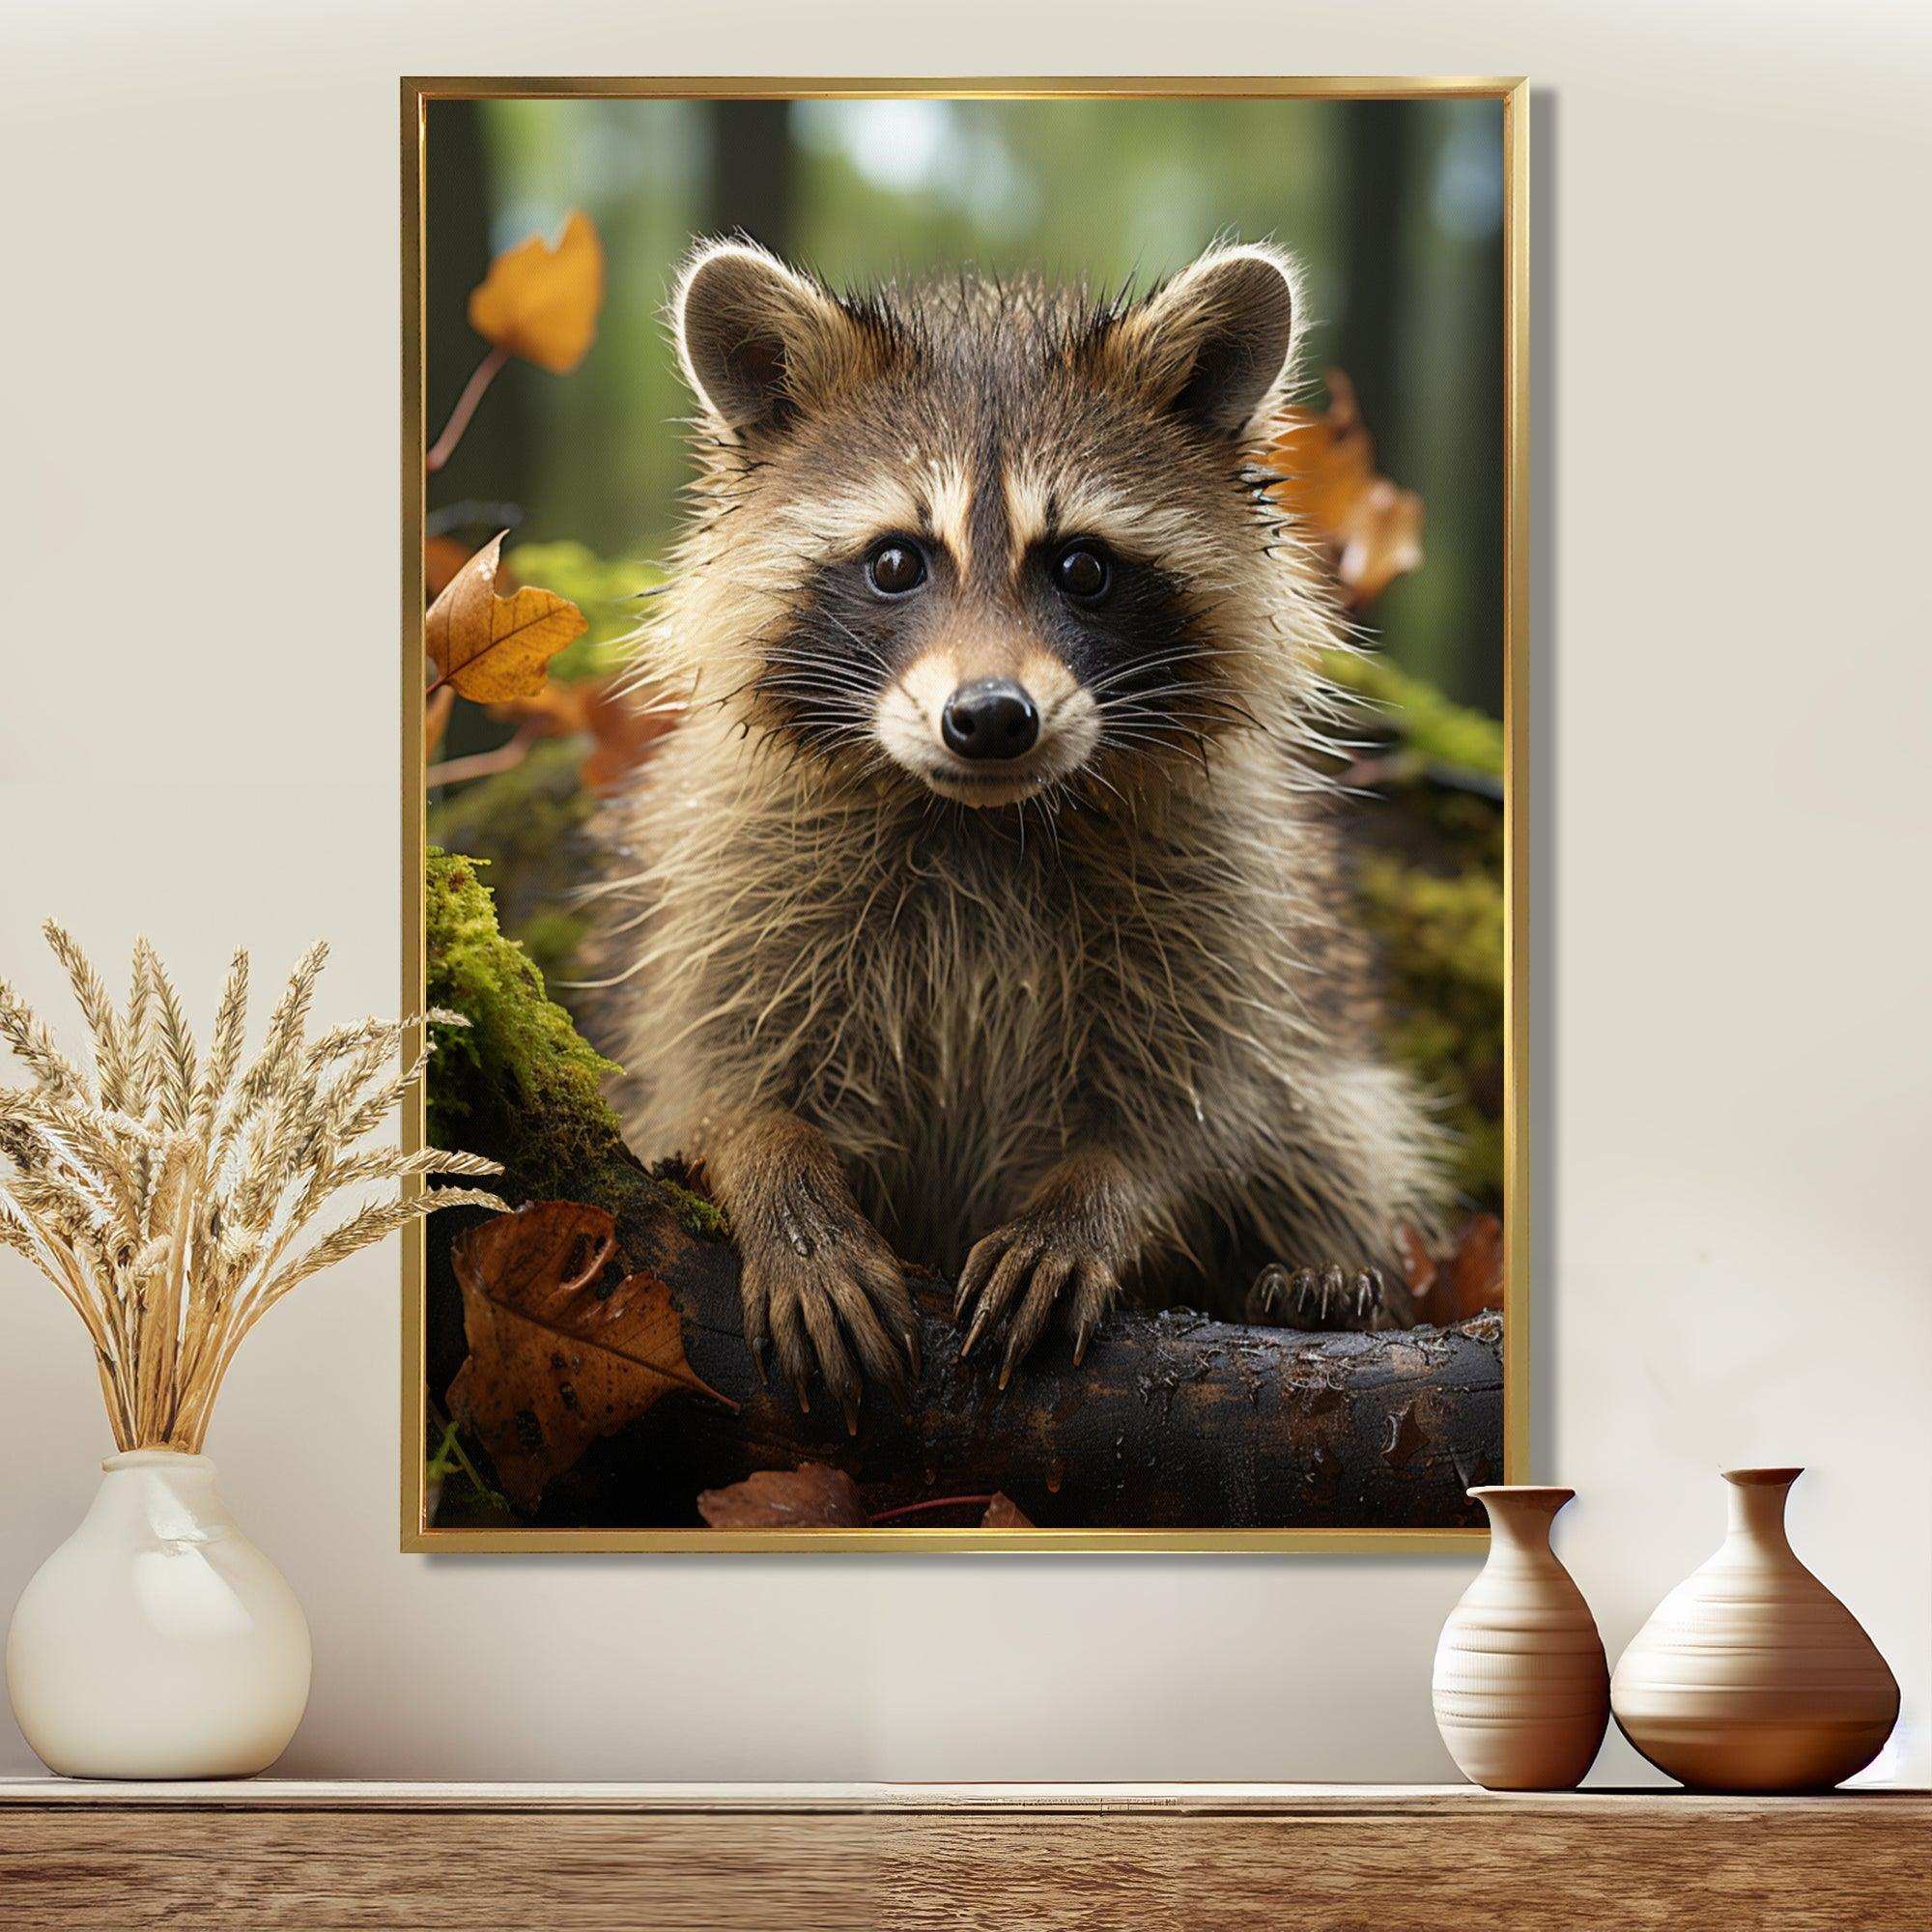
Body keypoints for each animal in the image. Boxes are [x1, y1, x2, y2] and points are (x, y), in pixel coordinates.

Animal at [591, 238, 1450, 1421]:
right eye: (896, 561)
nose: (992, 717)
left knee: (1333, 1133)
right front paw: (779, 1178)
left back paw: (1313, 1273)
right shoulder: (731, 875)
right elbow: (705, 1079)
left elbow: (1201, 1111)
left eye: (1080, 566)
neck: (976, 822)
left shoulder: (1229, 897)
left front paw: (1096, 1201)